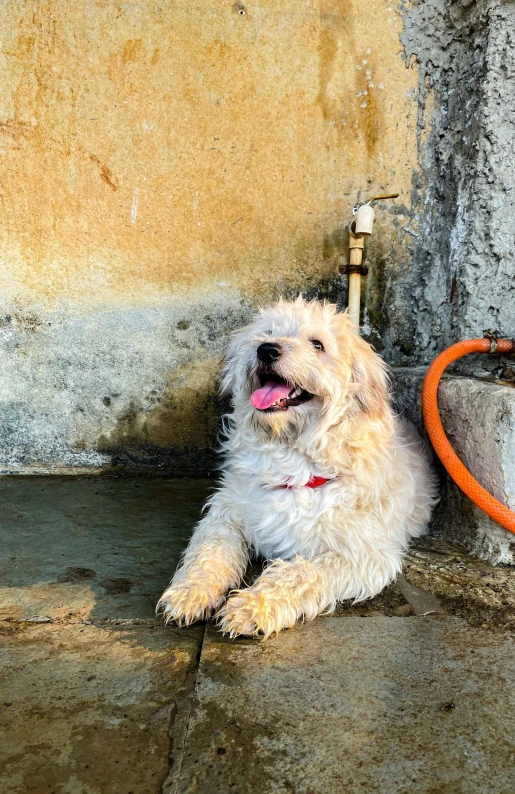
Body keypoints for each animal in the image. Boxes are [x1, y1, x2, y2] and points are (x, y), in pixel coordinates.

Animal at [156, 296, 436, 636]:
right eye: (268, 332)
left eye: (318, 344)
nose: (266, 349)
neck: (292, 454)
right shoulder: (227, 513)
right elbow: (209, 552)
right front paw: (191, 591)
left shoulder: (364, 555)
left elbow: (301, 573)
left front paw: (253, 606)